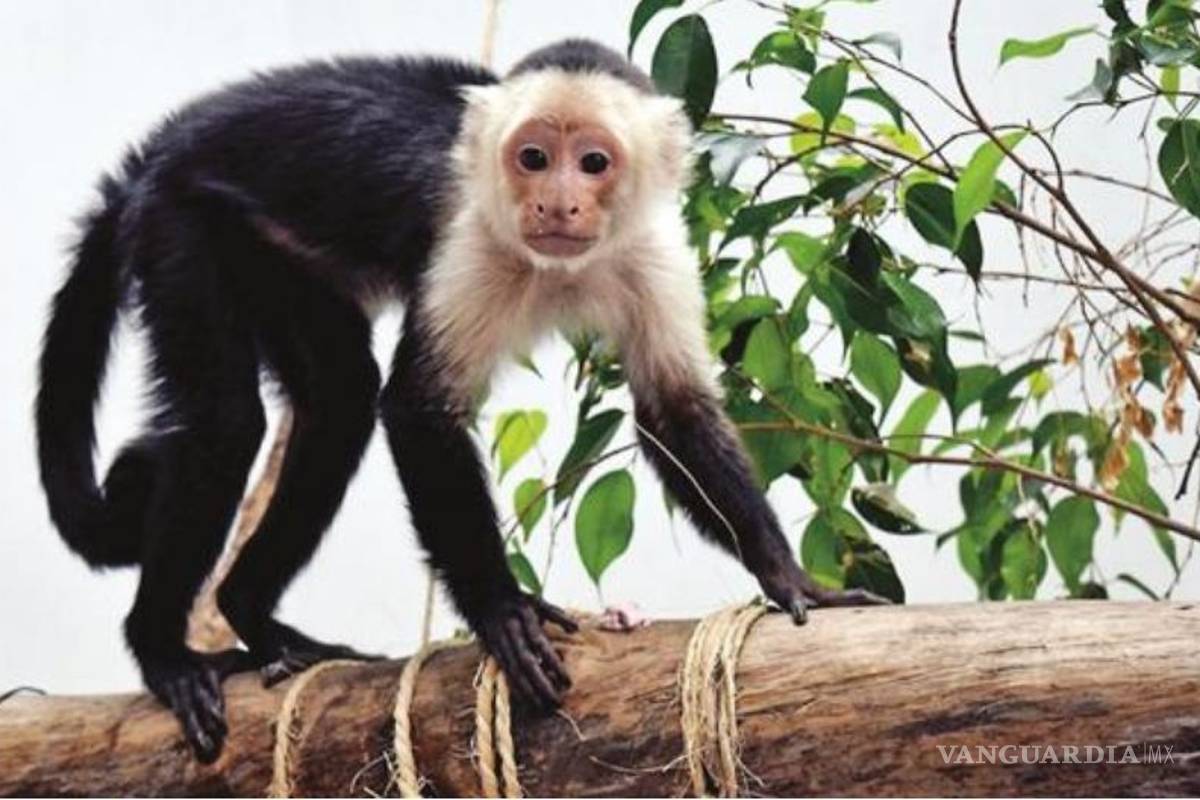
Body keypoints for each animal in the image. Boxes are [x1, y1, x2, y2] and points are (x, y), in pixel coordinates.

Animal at [36, 38, 884, 762]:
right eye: (534, 158)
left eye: (594, 162)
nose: (556, 204)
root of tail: (158, 153)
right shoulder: (469, 241)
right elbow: (416, 408)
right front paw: (503, 610)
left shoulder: (655, 250)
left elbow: (672, 411)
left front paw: (789, 579)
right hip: (180, 223)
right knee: (227, 425)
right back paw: (161, 650)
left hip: (265, 252)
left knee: (338, 400)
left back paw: (254, 618)